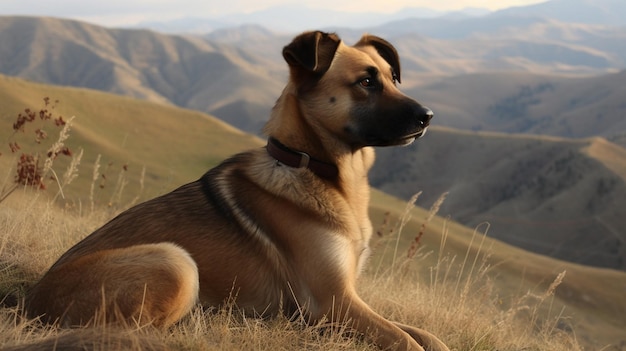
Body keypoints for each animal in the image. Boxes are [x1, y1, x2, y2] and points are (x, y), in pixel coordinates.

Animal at [24, 31, 446, 350]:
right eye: (365, 82)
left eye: (392, 77)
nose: (428, 117)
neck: (313, 166)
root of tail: (33, 303)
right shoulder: (333, 301)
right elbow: (405, 340)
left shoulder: (349, 297)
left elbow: (424, 335)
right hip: (174, 261)